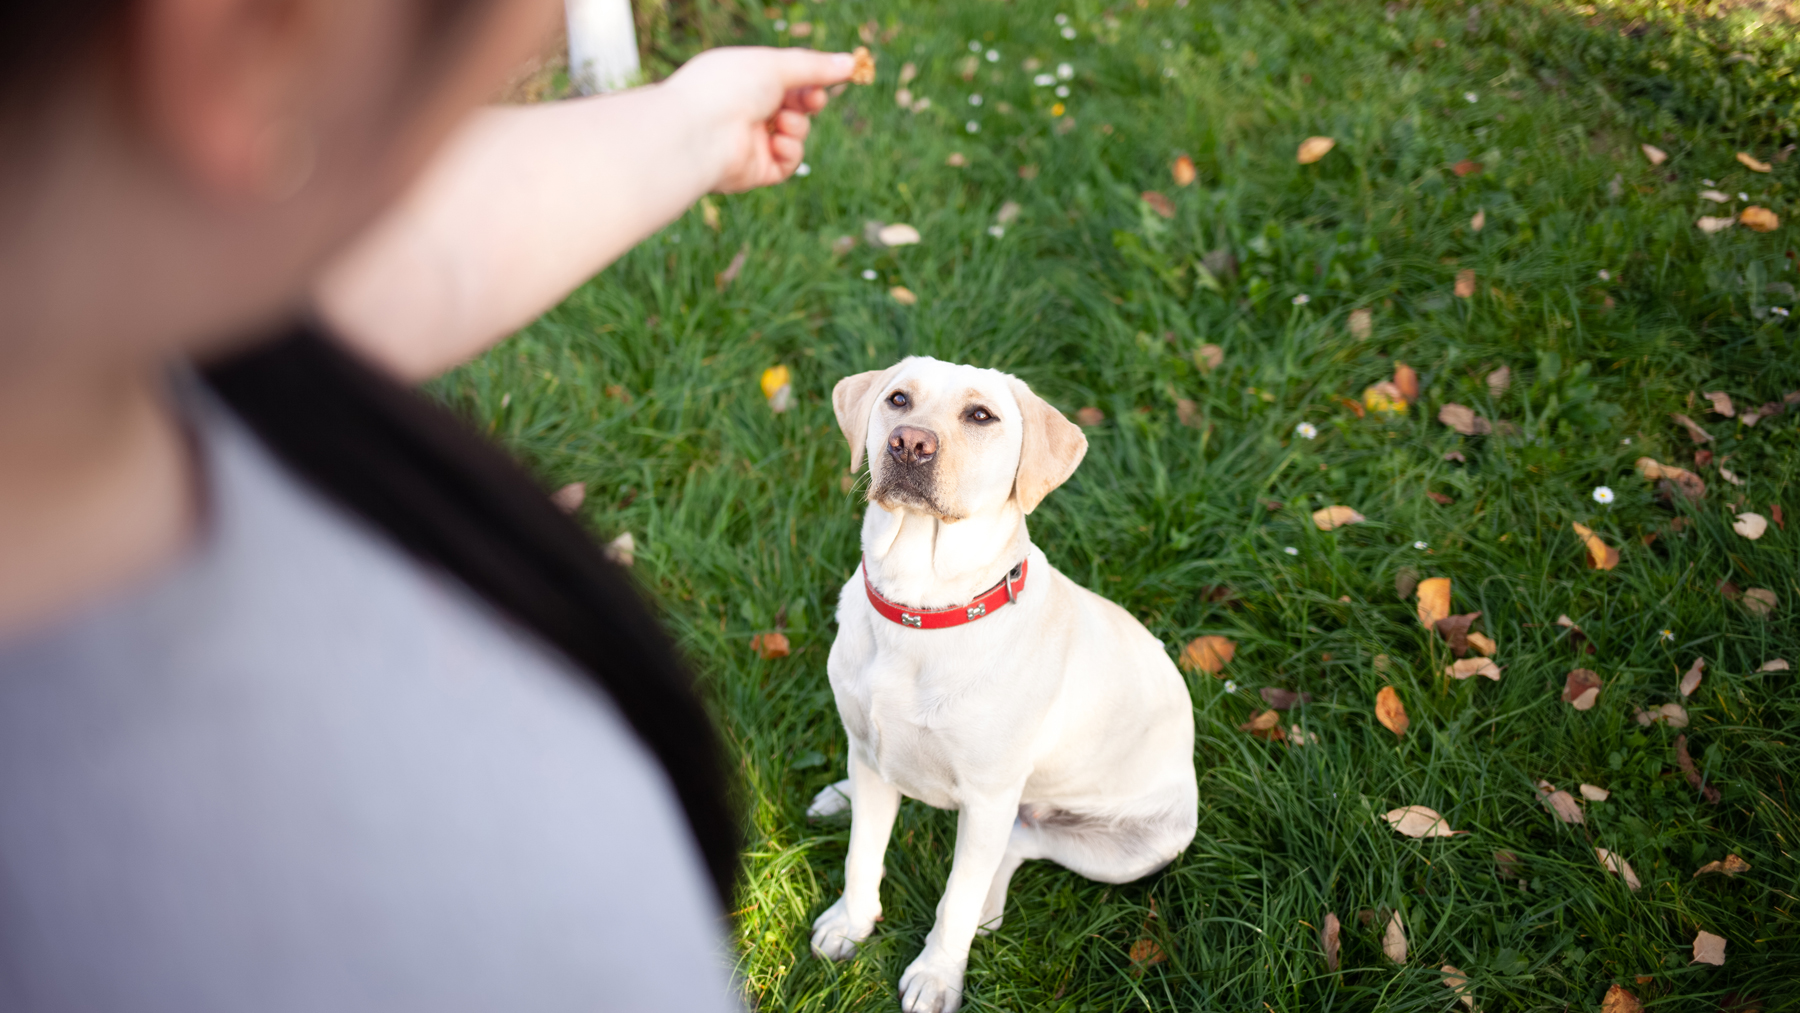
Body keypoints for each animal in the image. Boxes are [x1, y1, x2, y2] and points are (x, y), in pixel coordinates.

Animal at [806, 358, 1195, 1013]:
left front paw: (938, 975)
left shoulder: (988, 796)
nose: (909, 443)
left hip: (1127, 851)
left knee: (1014, 846)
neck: (922, 610)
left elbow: (956, 897)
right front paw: (849, 925)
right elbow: (862, 857)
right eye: (898, 399)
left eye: (980, 415)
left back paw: (986, 909)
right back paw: (841, 795)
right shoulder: (872, 749)